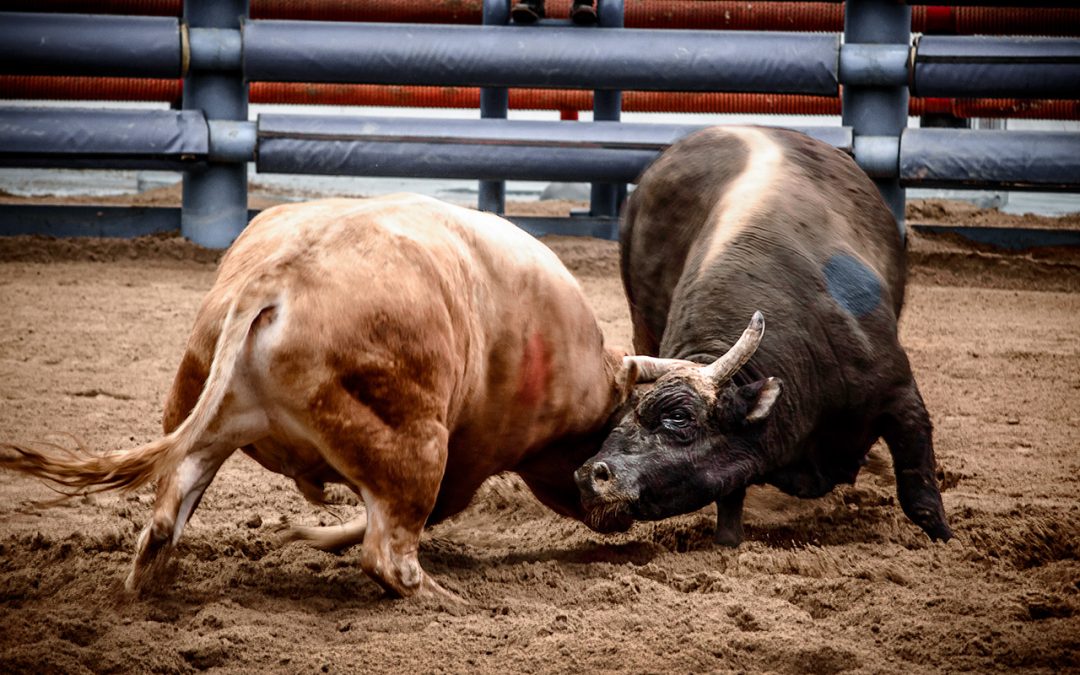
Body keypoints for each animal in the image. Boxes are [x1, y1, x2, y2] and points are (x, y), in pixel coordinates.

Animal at [2, 194, 665, 600]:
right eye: (608, 434)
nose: (610, 505)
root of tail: (279, 274)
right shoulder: (467, 457)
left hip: (202, 419)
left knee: (165, 517)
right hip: (414, 449)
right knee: (390, 556)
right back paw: (445, 599)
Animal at [574, 126, 954, 544]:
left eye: (679, 416)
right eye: (621, 417)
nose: (589, 477)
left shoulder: (900, 396)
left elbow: (919, 494)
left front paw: (944, 537)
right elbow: (729, 496)